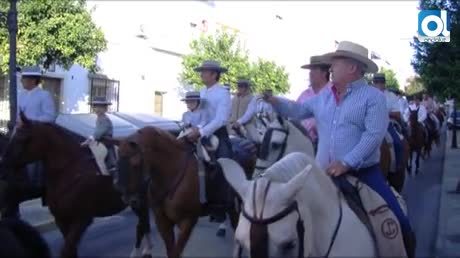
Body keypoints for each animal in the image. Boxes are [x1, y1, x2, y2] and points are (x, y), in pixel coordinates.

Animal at [0, 112, 154, 258]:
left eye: (23, 138)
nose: (4, 165)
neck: (70, 169)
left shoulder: (81, 220)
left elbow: (66, 250)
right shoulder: (61, 219)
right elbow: (70, 250)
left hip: (140, 201)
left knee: (142, 225)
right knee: (144, 224)